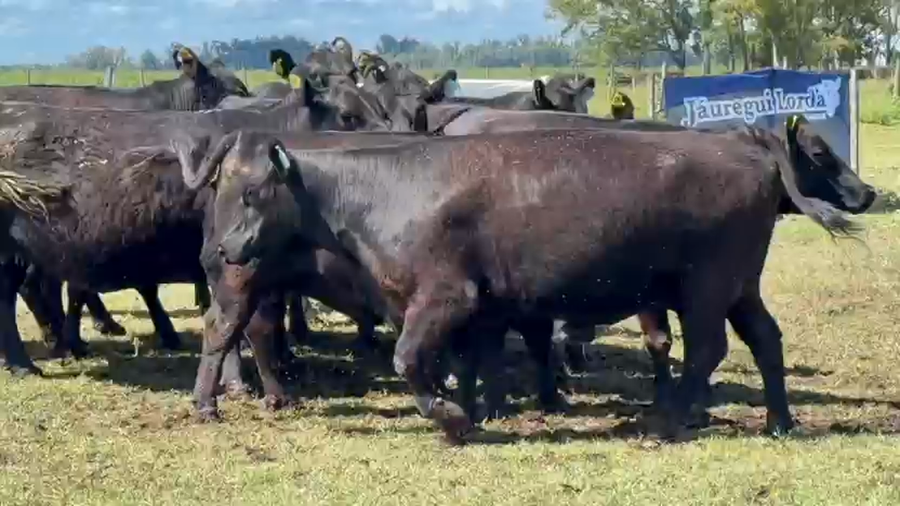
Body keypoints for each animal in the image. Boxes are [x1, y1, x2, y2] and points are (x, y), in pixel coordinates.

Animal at [195, 117, 875, 444]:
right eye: (232, 191)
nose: (222, 248)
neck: (380, 189)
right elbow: (469, 361)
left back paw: (669, 420)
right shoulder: (478, 307)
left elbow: (412, 360)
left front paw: (453, 419)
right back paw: (779, 421)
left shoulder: (445, 298)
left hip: (706, 288)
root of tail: (745, 148)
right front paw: (475, 410)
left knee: (708, 349)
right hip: (736, 287)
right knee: (764, 339)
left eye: (253, 194)